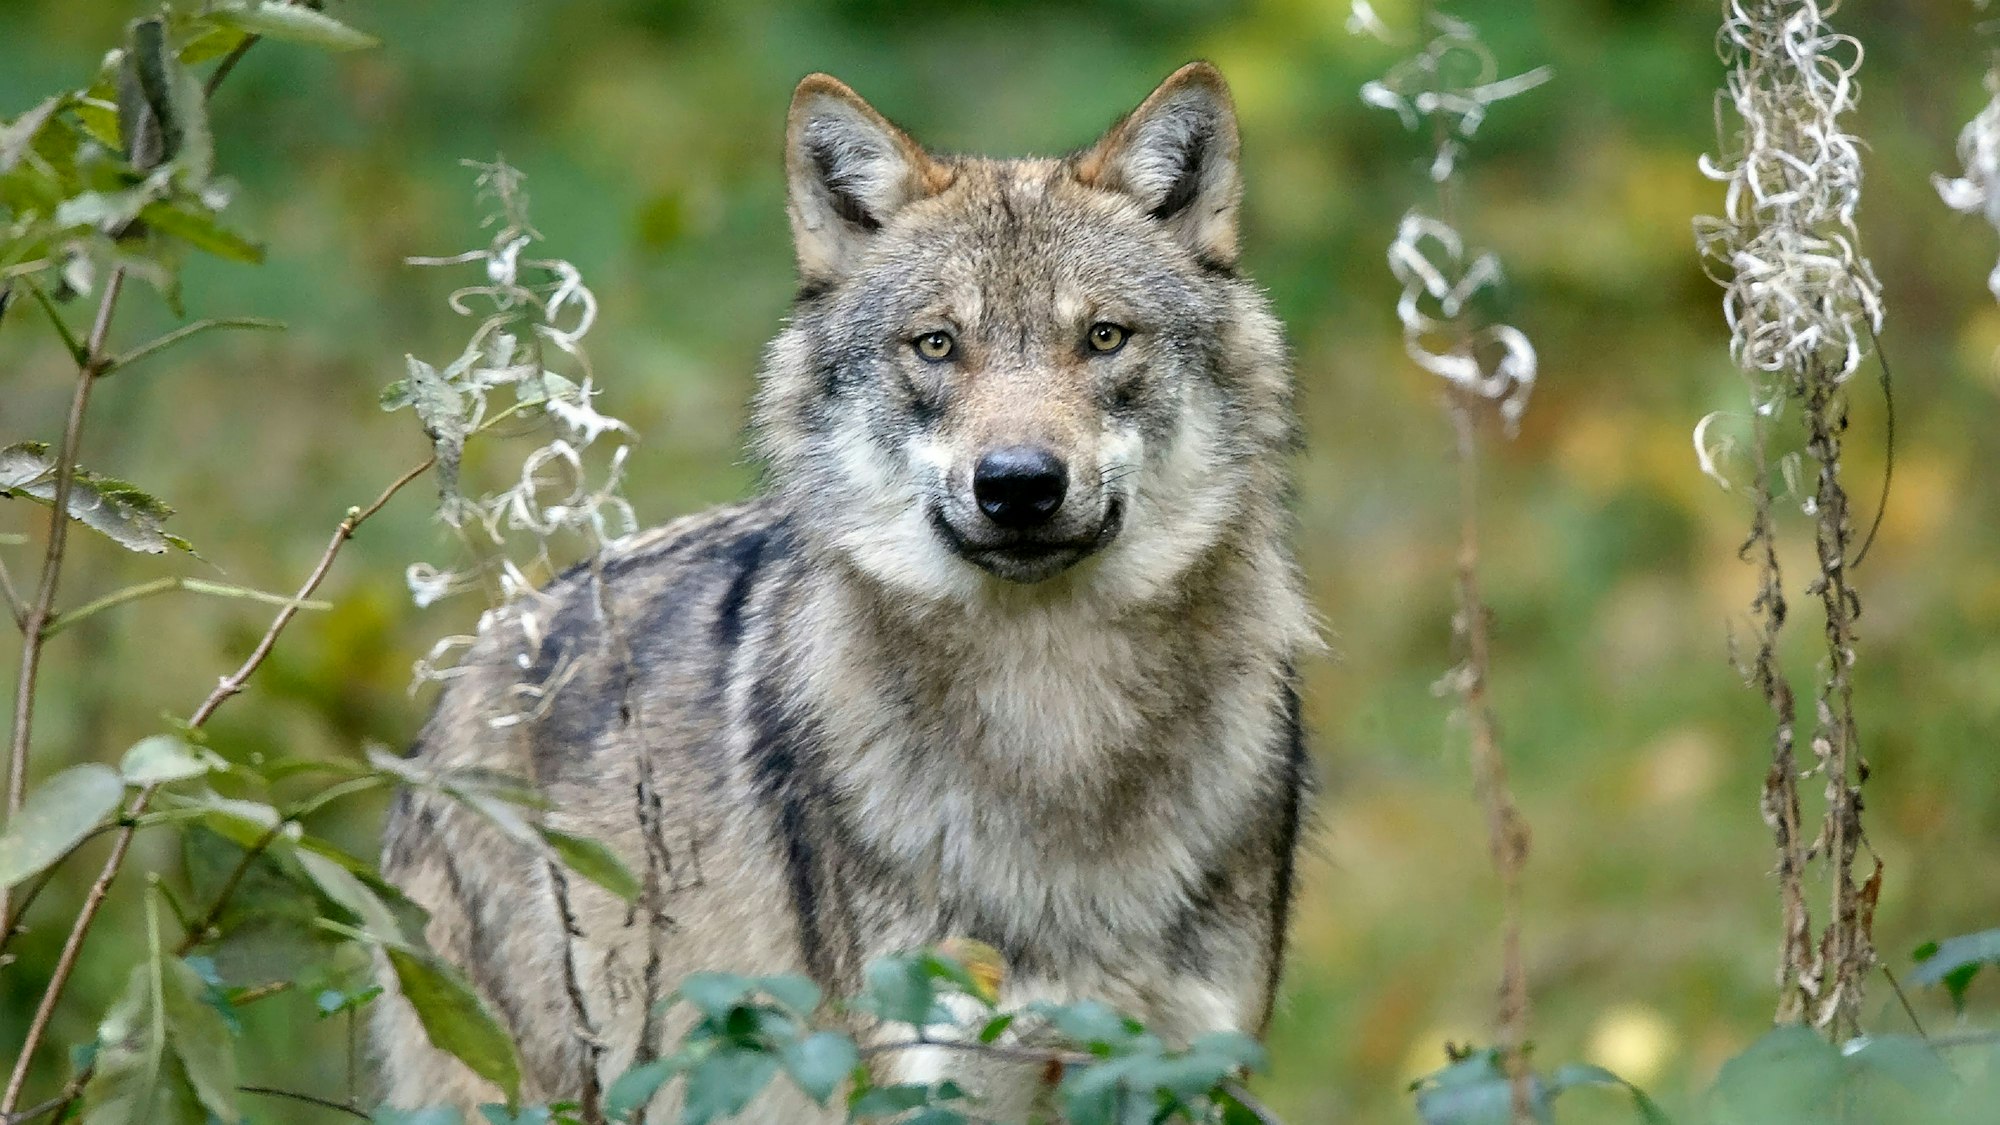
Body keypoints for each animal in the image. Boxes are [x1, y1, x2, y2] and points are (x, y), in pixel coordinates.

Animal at [373, 61, 1315, 1122]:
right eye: (937, 345)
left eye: (1105, 338)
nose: (1019, 483)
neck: (1053, 723)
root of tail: (469, 673)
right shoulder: (923, 1077)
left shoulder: (1193, 1072)